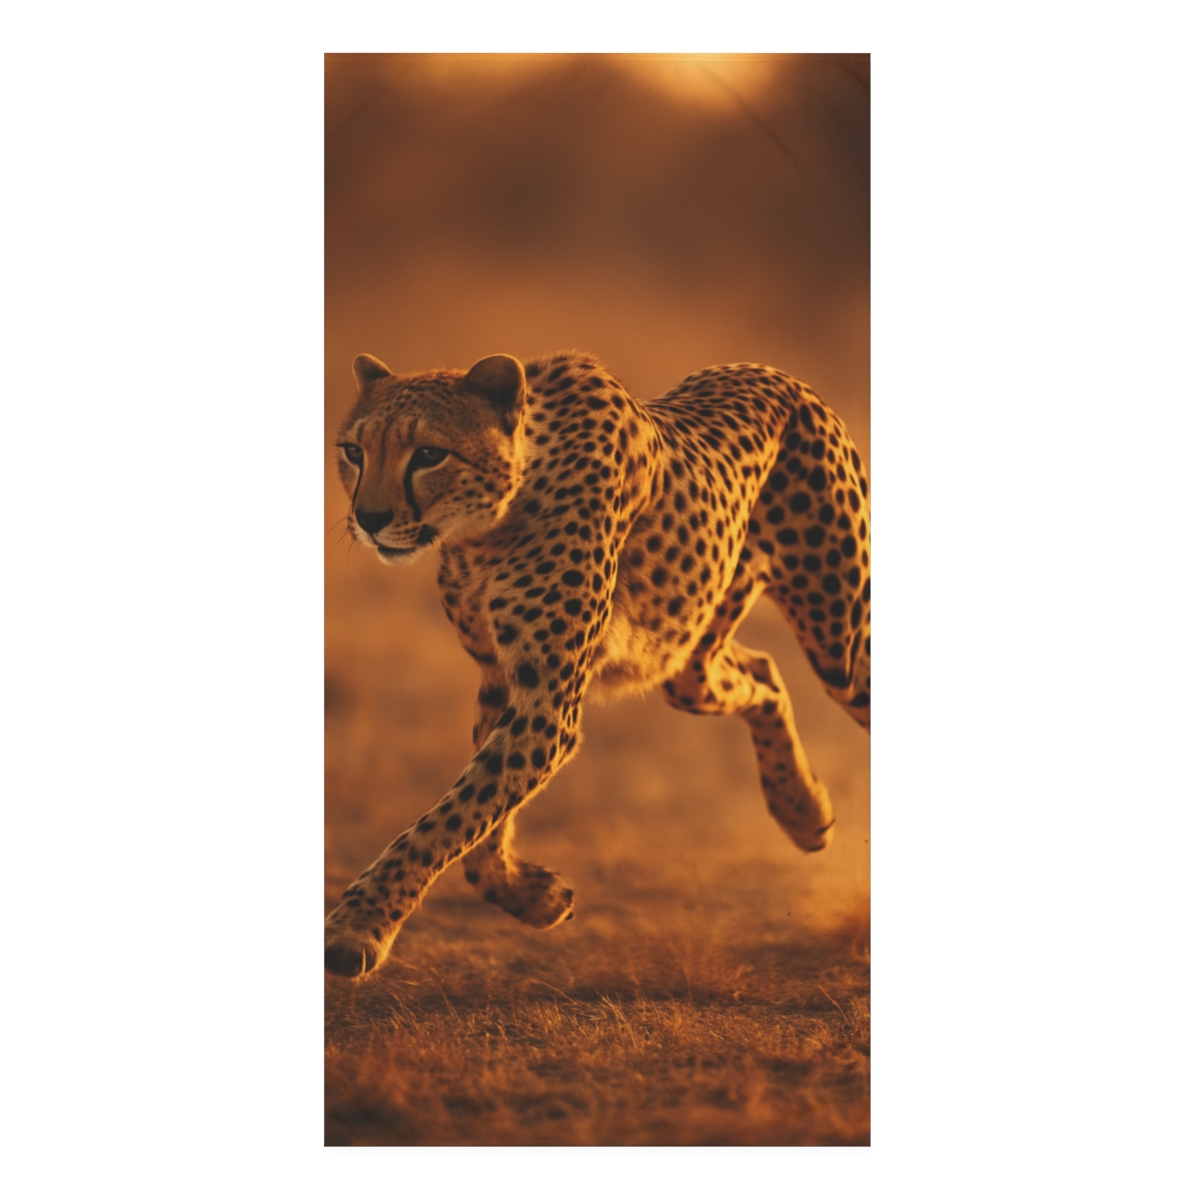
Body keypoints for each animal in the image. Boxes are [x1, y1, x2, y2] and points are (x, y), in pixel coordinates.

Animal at [325, 349, 870, 978]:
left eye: (429, 454)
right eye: (354, 451)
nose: (368, 518)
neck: (492, 523)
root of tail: (769, 371)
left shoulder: (546, 706)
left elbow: (448, 820)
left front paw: (356, 928)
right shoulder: (502, 680)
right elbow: (478, 823)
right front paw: (534, 897)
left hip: (839, 643)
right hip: (687, 661)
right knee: (761, 672)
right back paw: (803, 810)